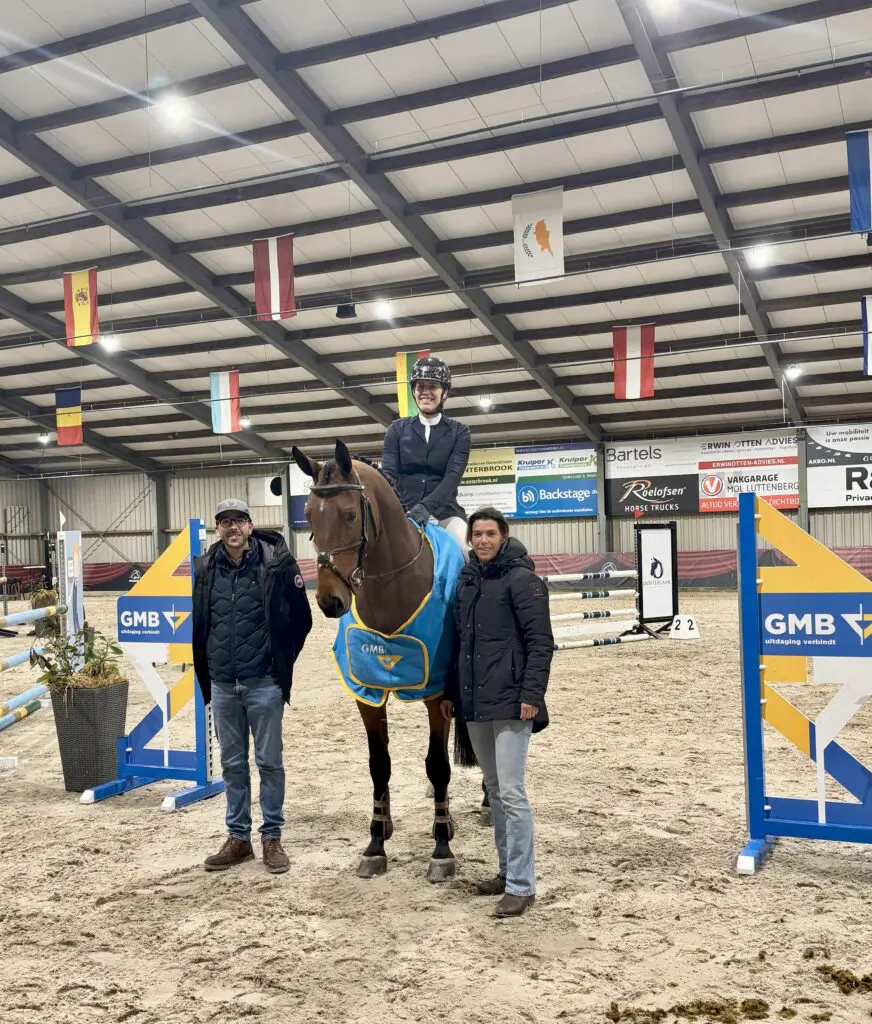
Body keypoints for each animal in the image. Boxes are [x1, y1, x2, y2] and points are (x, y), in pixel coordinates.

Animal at [292, 440, 467, 882]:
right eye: (308, 515)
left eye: (351, 514)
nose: (330, 602)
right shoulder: (366, 692)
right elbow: (379, 764)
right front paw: (375, 842)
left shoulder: (435, 692)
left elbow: (438, 765)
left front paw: (441, 850)